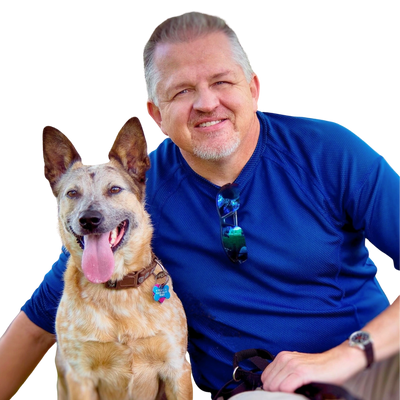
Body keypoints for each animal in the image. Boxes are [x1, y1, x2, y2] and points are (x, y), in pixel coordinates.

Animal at [39, 114, 196, 398]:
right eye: (72, 193)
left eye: (114, 190)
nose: (89, 219)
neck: (117, 289)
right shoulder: (81, 376)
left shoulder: (176, 369)